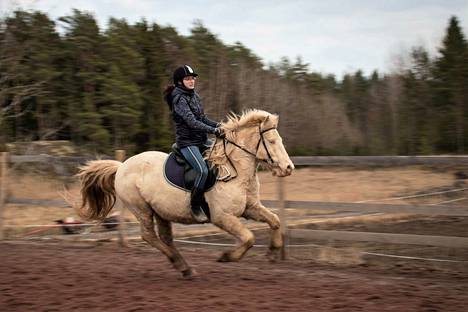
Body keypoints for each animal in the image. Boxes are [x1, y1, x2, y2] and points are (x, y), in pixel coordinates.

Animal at [78, 109, 294, 278]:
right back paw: (180, 264)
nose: (288, 168)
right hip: (142, 210)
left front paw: (272, 253)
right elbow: (249, 238)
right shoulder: (222, 217)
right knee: (149, 236)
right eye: (272, 141)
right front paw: (226, 257)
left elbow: (275, 221)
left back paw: (185, 268)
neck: (235, 170)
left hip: (161, 212)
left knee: (165, 238)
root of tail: (122, 166)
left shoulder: (250, 208)